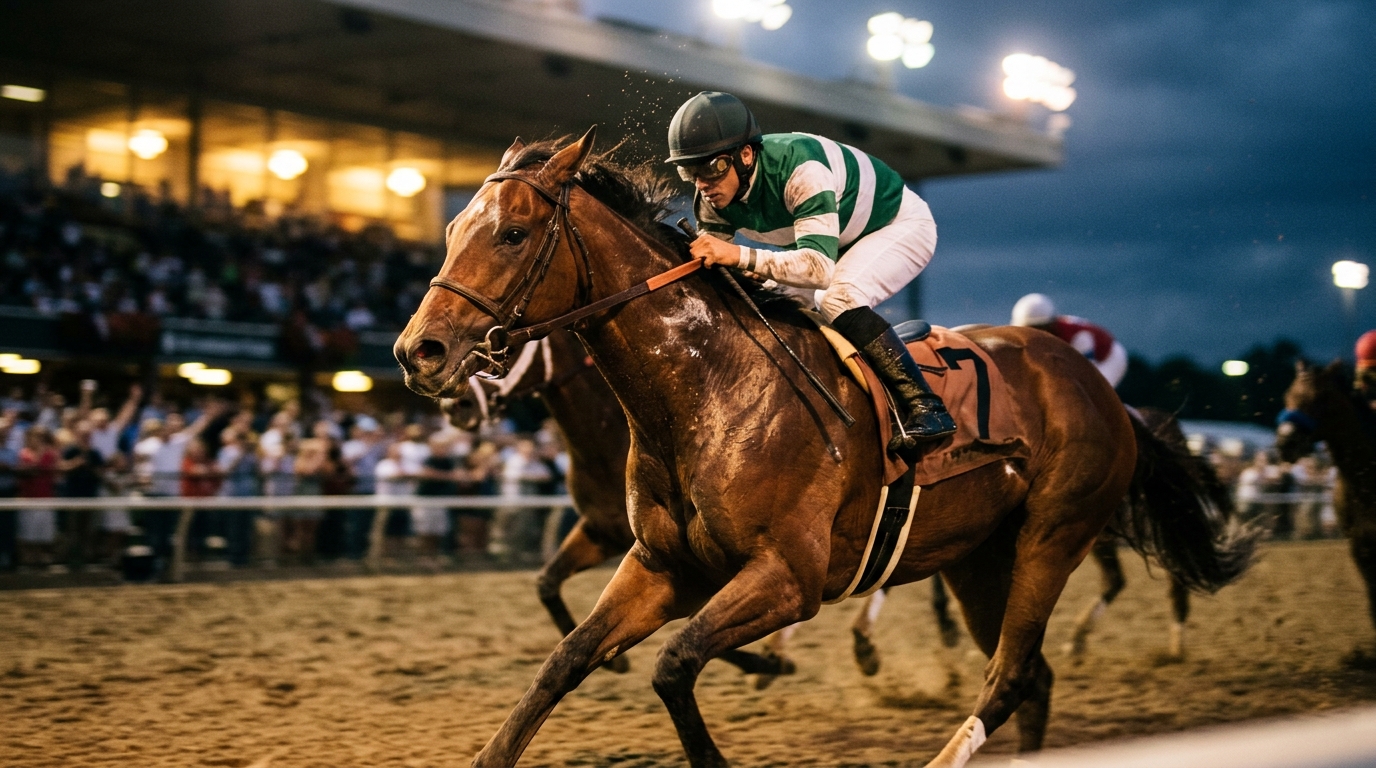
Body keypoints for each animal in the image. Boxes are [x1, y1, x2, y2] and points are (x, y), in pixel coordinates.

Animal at [394, 129, 1253, 767]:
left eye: (513, 234)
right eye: (451, 230)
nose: (418, 353)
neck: (705, 393)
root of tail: (1100, 387)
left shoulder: (788, 576)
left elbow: (675, 667)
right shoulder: (661, 564)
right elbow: (564, 659)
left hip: (1053, 534)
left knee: (1011, 674)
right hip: (979, 555)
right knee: (1031, 679)